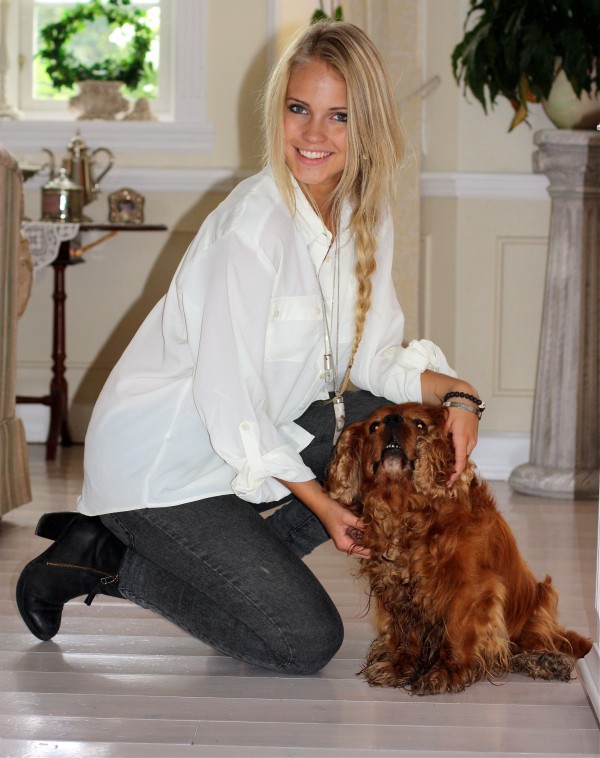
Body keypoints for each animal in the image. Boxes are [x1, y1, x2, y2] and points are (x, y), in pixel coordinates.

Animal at [325, 402, 592, 695]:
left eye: (419, 424)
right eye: (374, 426)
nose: (393, 419)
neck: (407, 510)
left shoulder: (470, 590)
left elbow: (457, 633)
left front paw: (444, 674)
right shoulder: (396, 588)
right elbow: (403, 633)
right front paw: (398, 666)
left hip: (542, 599)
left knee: (533, 643)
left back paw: (546, 661)